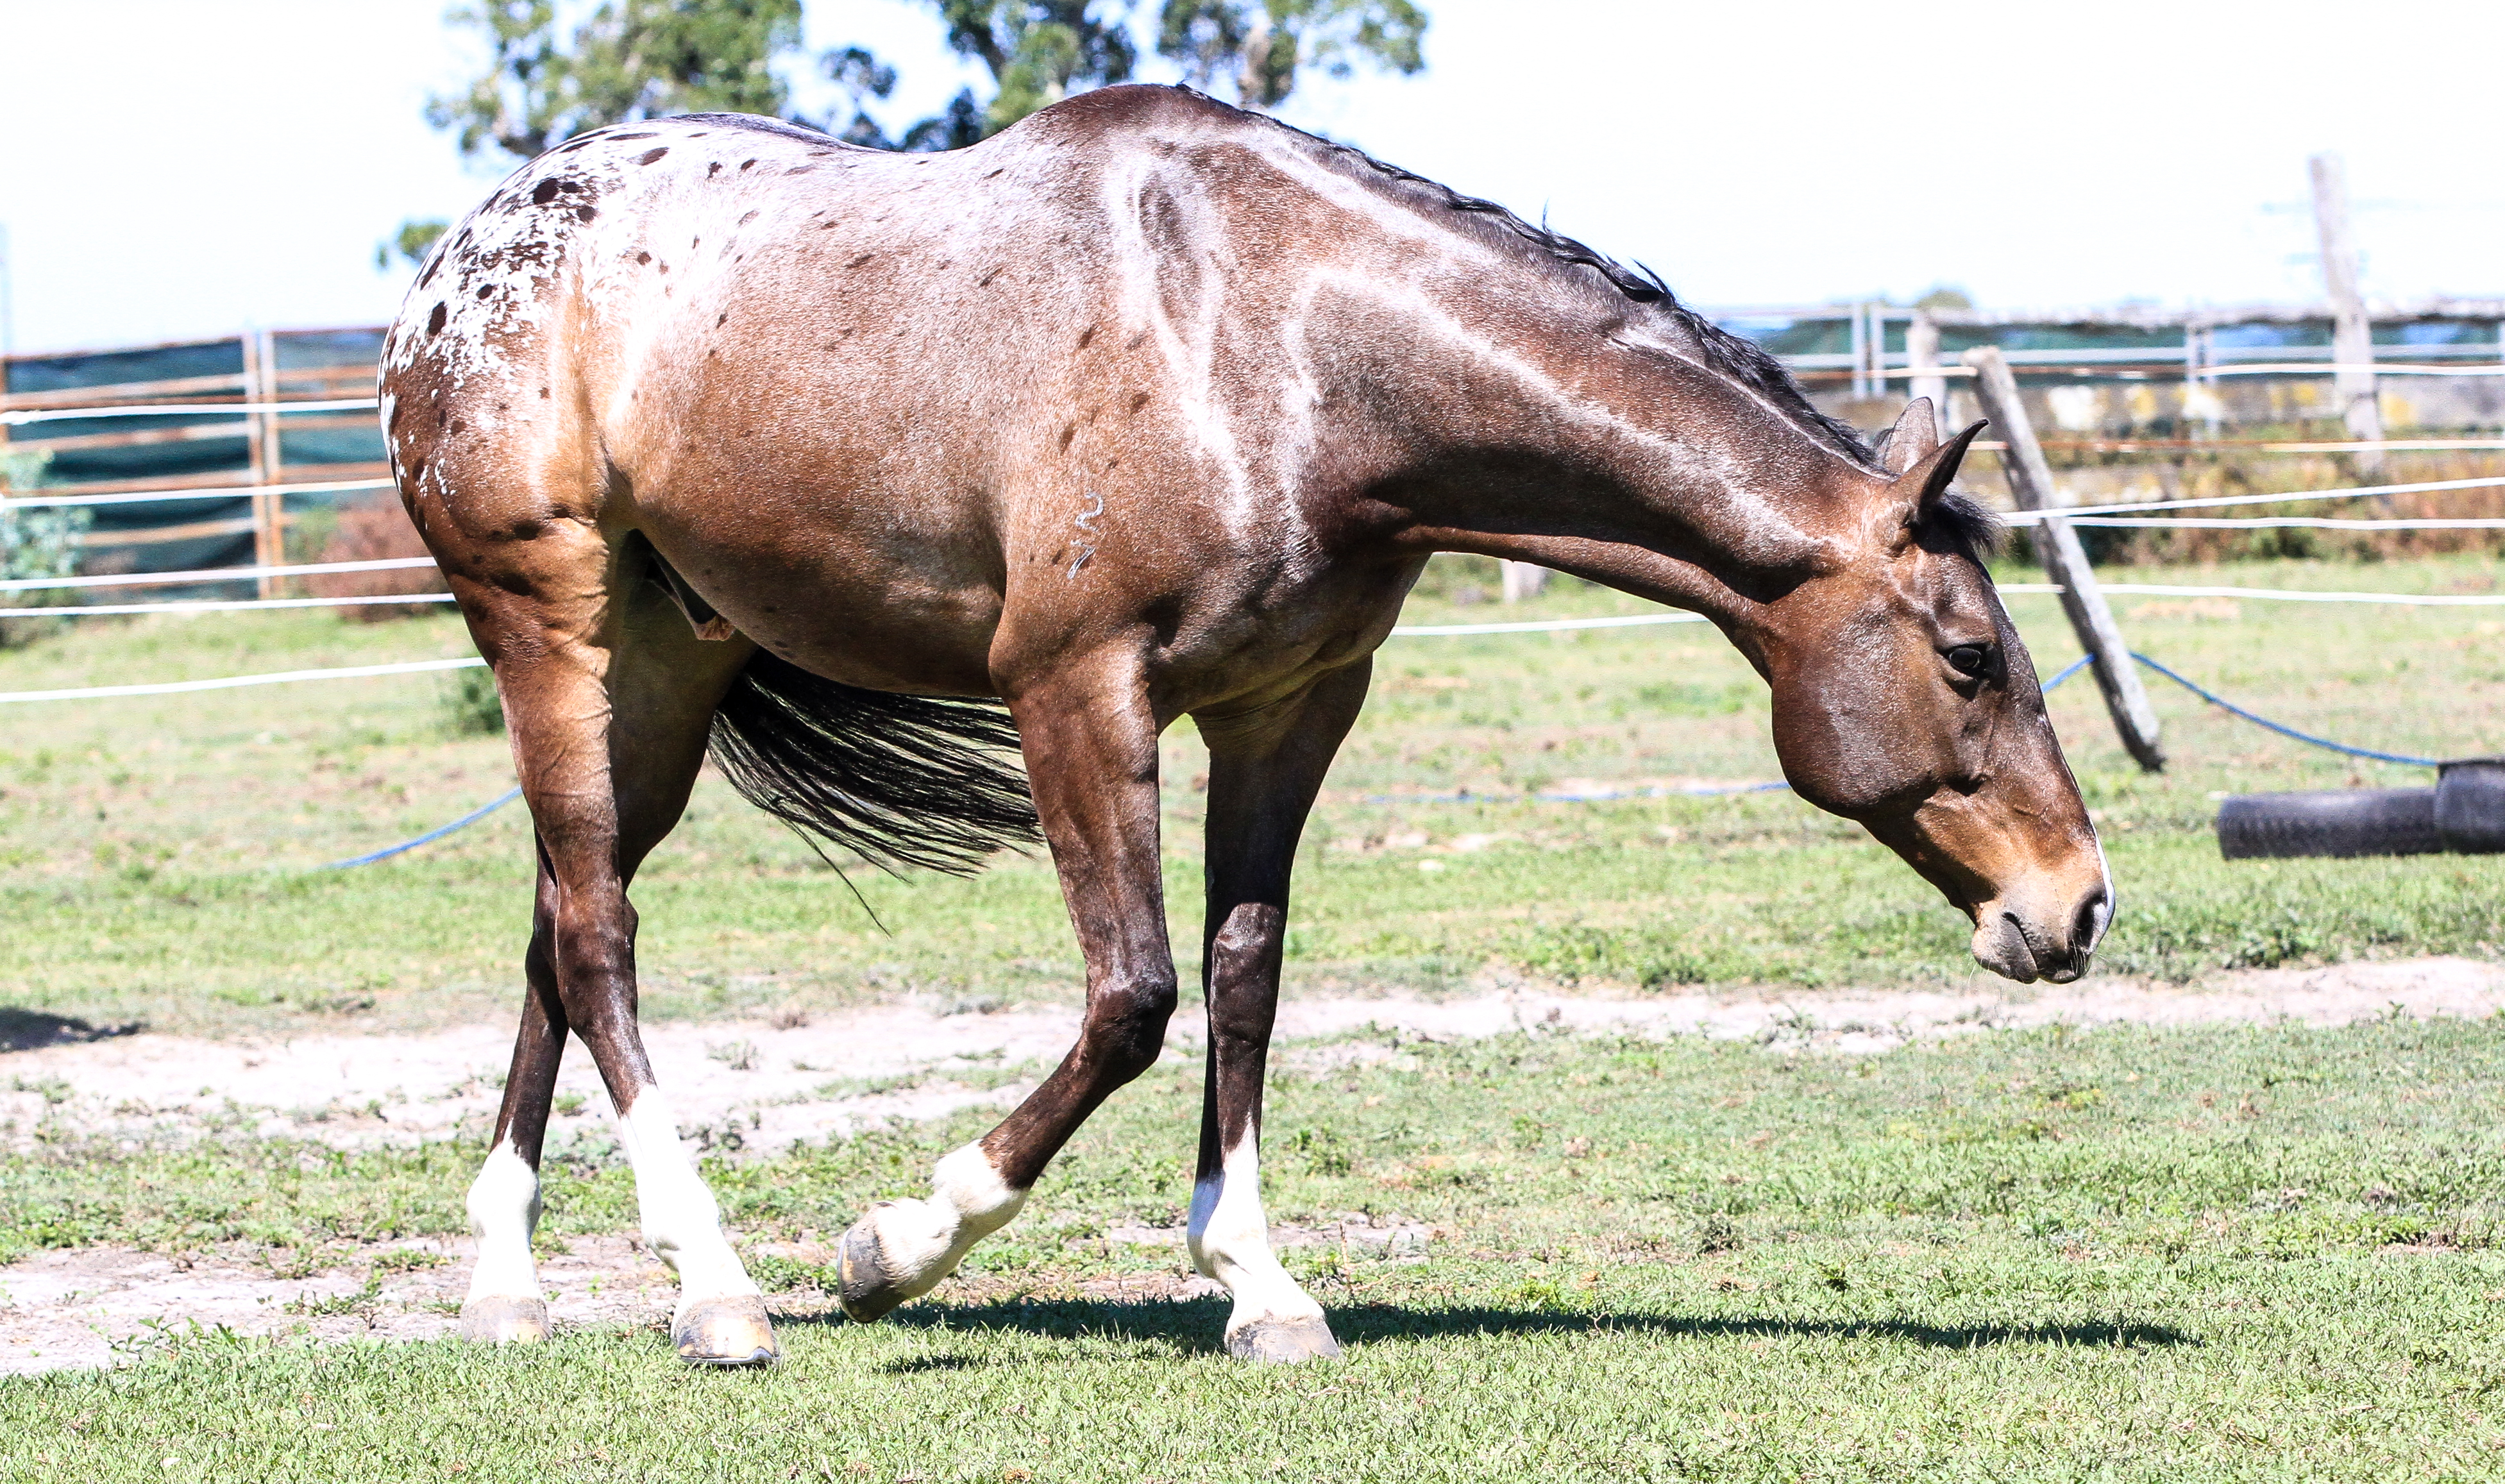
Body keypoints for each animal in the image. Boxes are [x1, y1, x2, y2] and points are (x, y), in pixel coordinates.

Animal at [380, 87, 2104, 1363]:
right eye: (1970, 656)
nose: (2078, 905)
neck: (1277, 347)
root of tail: (464, 257)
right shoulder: (1077, 690)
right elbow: (1136, 994)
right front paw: (900, 1241)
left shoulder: (1292, 705)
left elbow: (1244, 973)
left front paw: (1260, 1283)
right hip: (548, 621)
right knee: (597, 928)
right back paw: (715, 1286)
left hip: (671, 666)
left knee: (561, 914)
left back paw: (508, 1278)